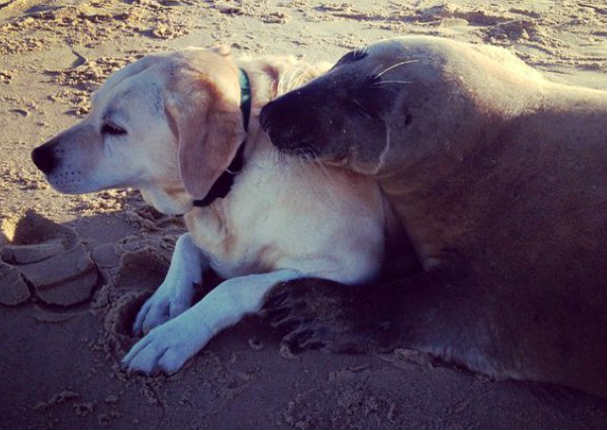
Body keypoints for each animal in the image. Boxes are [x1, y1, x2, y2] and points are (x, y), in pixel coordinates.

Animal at [32, 47, 394, 374]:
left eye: (115, 129)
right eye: (92, 109)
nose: (38, 156)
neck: (236, 170)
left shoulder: (353, 264)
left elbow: (233, 286)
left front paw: (175, 335)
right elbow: (185, 243)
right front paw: (166, 299)